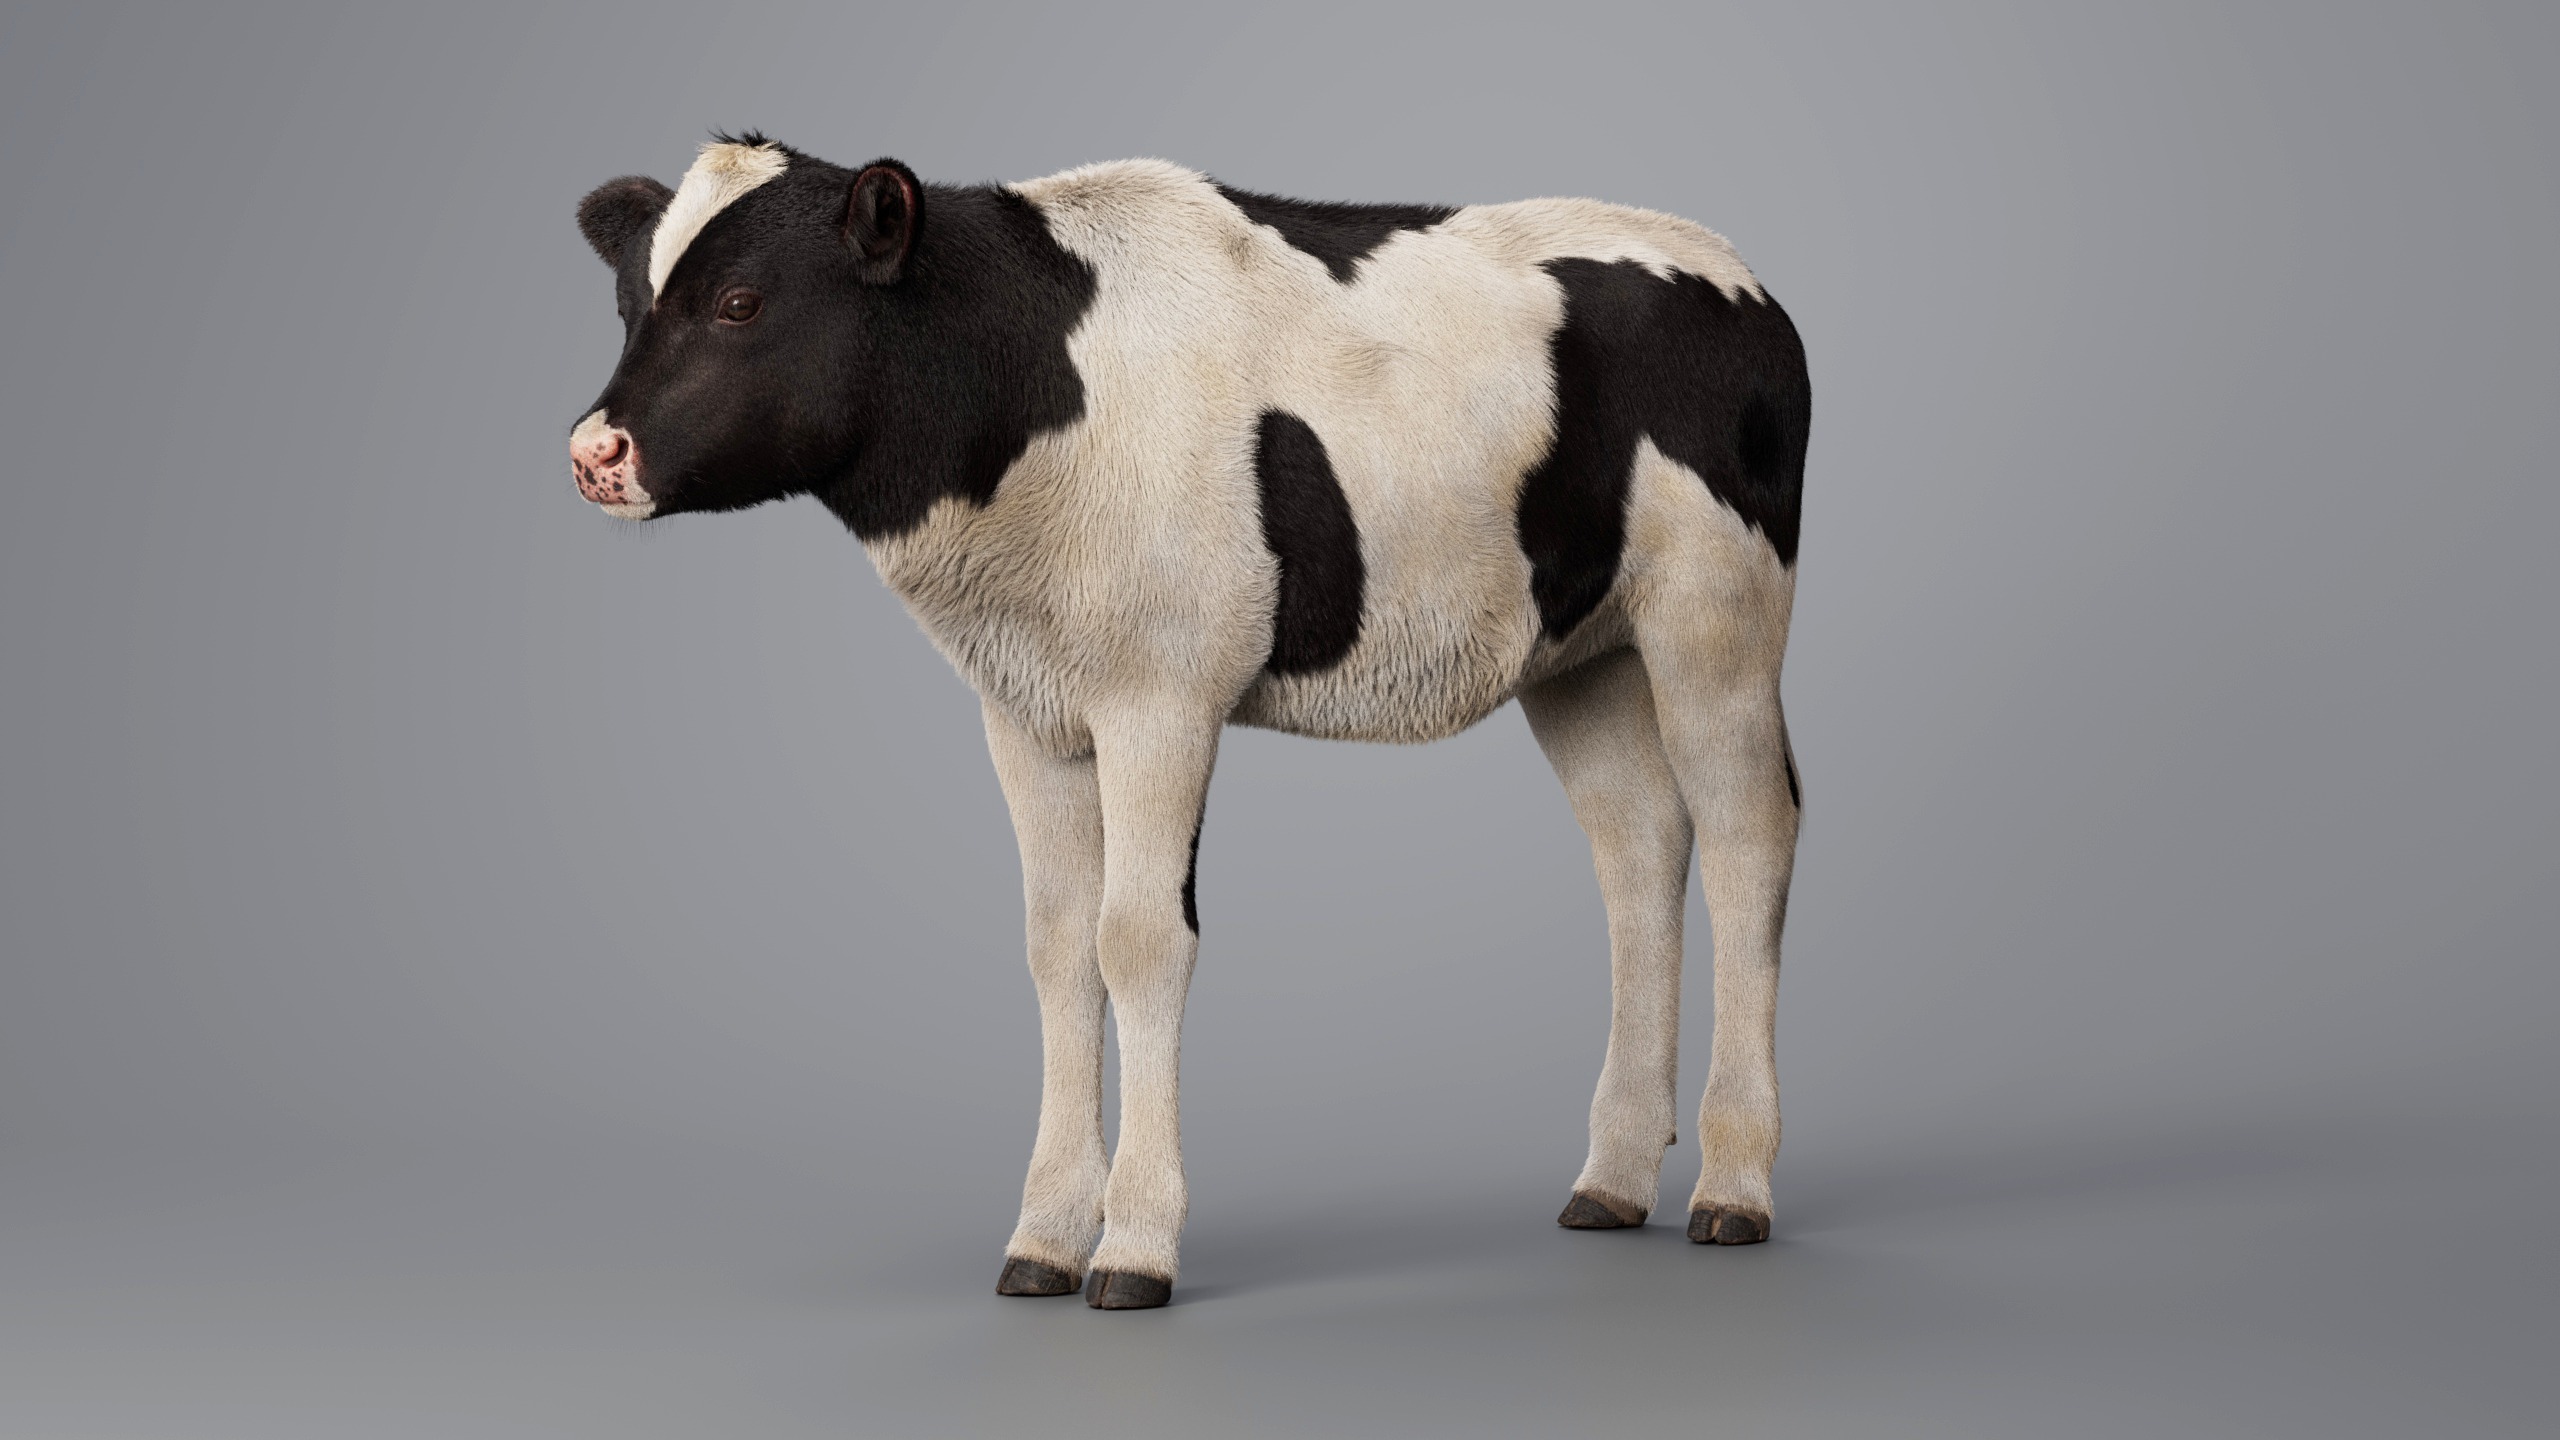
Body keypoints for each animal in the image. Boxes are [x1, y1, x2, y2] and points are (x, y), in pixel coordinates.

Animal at [569, 134, 1809, 1310]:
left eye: (740, 303)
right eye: (629, 303)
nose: (592, 452)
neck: (1028, 377)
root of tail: (1743, 280)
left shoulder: (1160, 693)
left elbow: (1137, 939)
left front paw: (1133, 1247)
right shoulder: (1027, 708)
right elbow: (1056, 946)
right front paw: (1042, 1241)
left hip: (1717, 614)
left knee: (1747, 835)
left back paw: (1733, 1187)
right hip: (1580, 650)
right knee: (1639, 845)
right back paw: (1612, 1180)